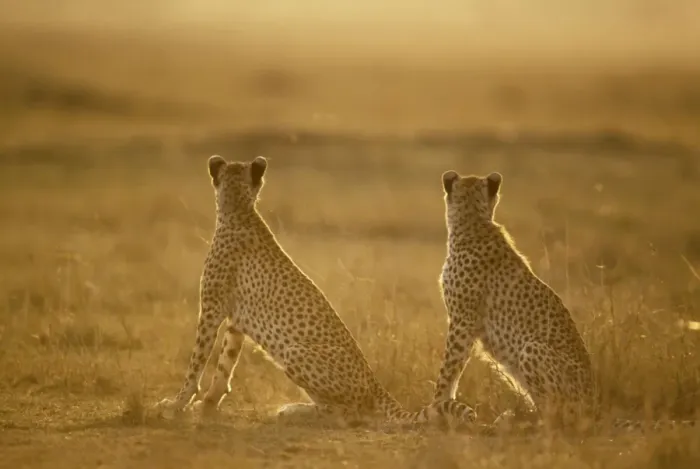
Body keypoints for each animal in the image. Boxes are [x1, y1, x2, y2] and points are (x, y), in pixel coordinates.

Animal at [152, 155, 476, 429]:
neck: (239, 208)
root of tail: (375, 383)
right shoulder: (236, 320)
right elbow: (224, 365)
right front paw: (207, 404)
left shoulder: (211, 309)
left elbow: (197, 360)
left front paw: (177, 403)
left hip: (294, 353)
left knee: (351, 414)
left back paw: (297, 412)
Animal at [431, 168, 697, 435]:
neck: (472, 221)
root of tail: (594, 408)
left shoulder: (462, 321)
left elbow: (449, 368)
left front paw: (436, 407)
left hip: (532, 348)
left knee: (558, 418)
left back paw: (522, 421)